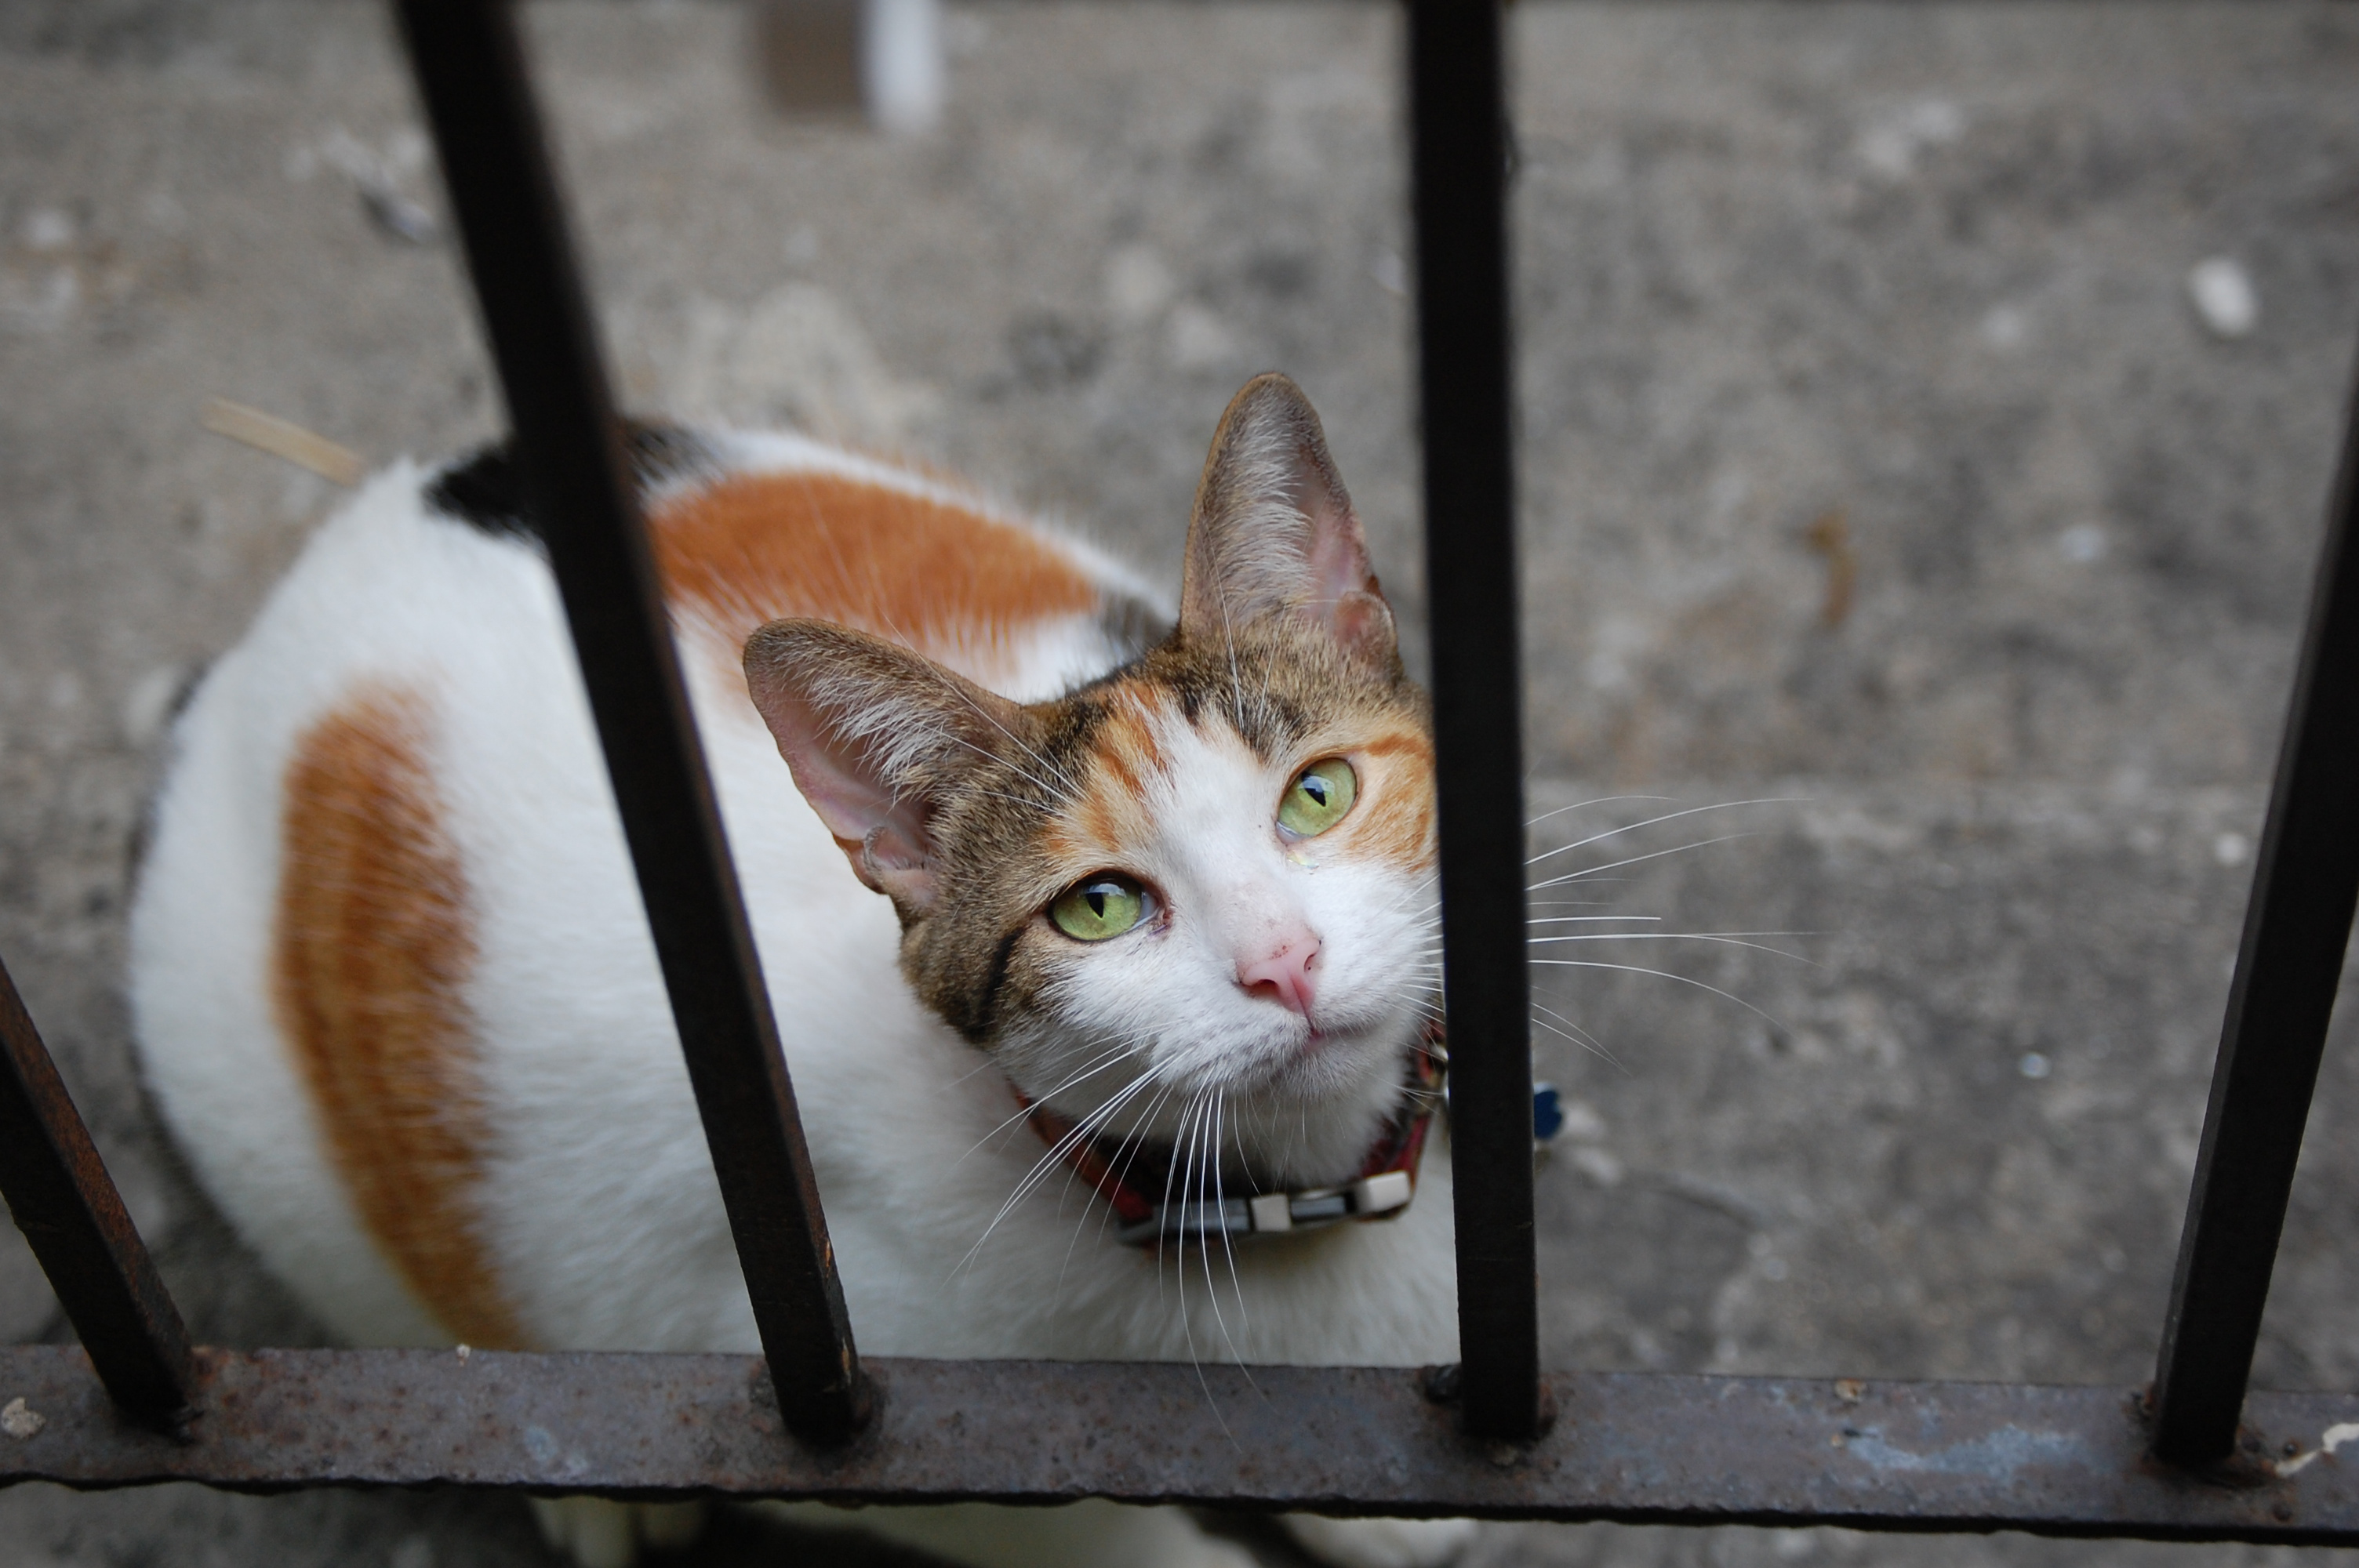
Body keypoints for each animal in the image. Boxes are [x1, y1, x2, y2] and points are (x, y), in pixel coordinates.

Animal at [124, 377, 1471, 1565]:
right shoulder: (842, 1407)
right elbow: (1097, 1539)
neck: (1285, 1189)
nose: (1285, 963)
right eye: (1098, 909)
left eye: (1318, 795)